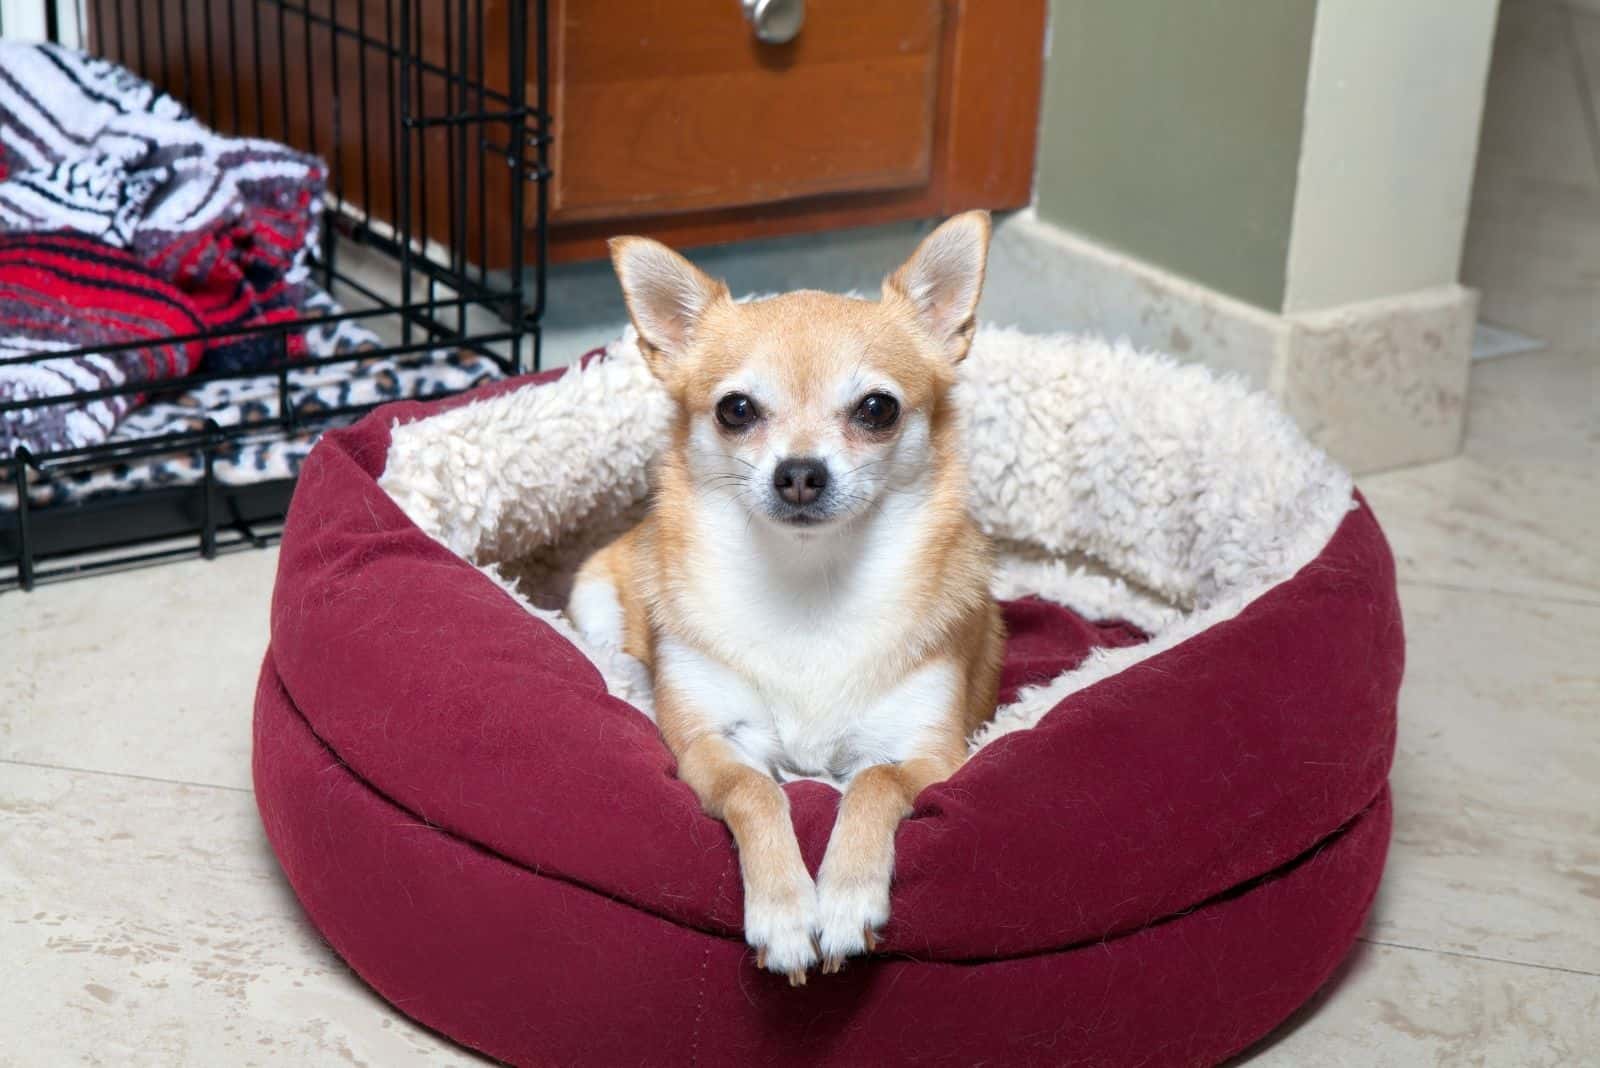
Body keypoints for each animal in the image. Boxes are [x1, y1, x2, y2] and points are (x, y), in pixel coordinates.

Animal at [569, 211, 1004, 984]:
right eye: (736, 410)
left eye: (877, 409)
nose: (800, 472)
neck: (810, 582)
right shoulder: (712, 747)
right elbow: (760, 791)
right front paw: (784, 911)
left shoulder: (930, 756)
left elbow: (873, 782)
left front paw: (846, 899)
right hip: (595, 594)